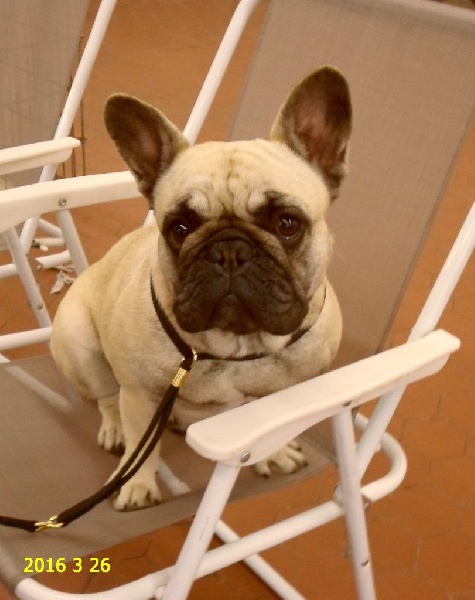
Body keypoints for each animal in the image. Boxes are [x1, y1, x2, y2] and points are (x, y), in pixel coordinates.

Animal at [50, 66, 352, 511]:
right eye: (180, 228)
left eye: (287, 223)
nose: (228, 250)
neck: (237, 347)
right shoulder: (139, 395)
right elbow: (142, 447)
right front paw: (138, 485)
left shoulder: (284, 391)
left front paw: (276, 452)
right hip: (79, 344)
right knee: (107, 397)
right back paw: (116, 431)